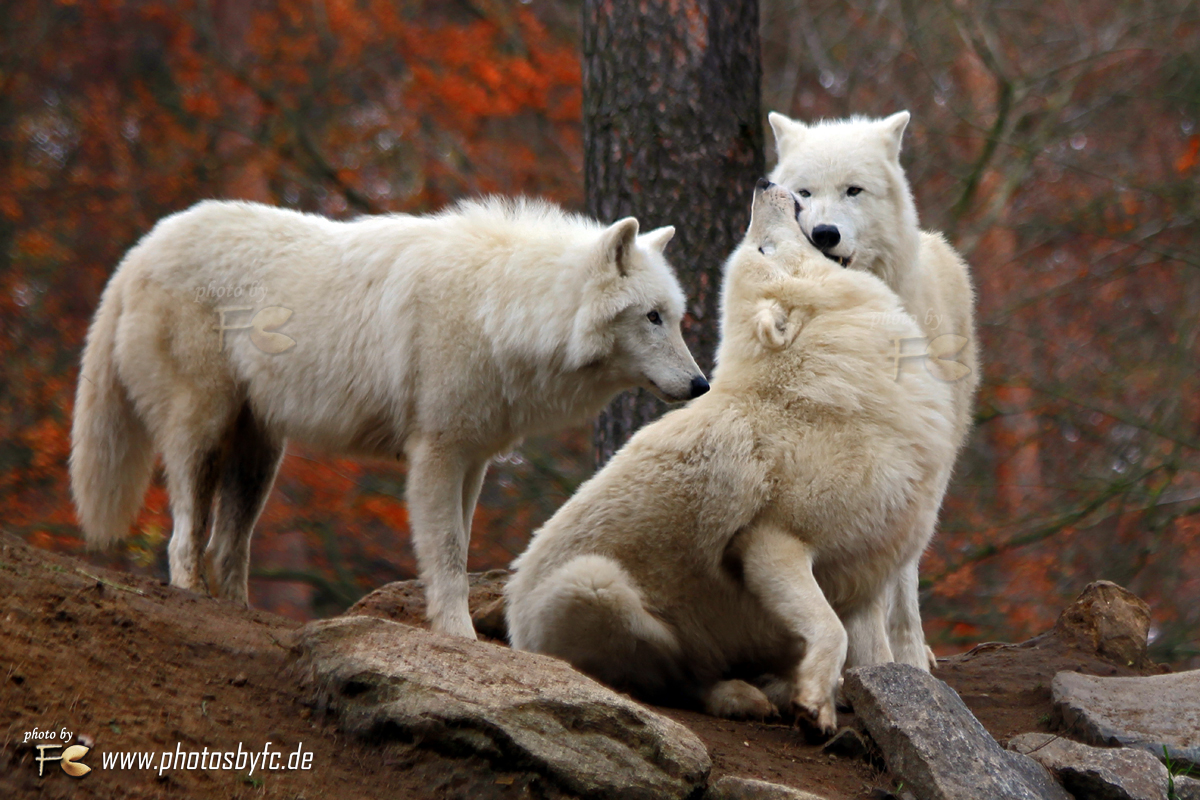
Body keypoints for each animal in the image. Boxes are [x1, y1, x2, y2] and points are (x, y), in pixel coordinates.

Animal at [70, 195, 705, 638]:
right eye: (652, 317)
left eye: (675, 317)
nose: (701, 385)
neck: (502, 308)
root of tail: (140, 249)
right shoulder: (436, 454)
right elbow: (447, 555)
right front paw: (460, 636)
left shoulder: (473, 461)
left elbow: (460, 547)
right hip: (202, 433)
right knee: (184, 540)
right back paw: (192, 598)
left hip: (260, 455)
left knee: (226, 549)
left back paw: (237, 610)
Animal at [506, 181, 955, 734]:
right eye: (762, 248)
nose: (764, 186)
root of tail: (515, 629)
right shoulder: (772, 545)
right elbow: (831, 630)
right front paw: (815, 707)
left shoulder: (867, 570)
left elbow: (878, 660)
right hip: (595, 584)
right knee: (675, 682)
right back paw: (744, 697)